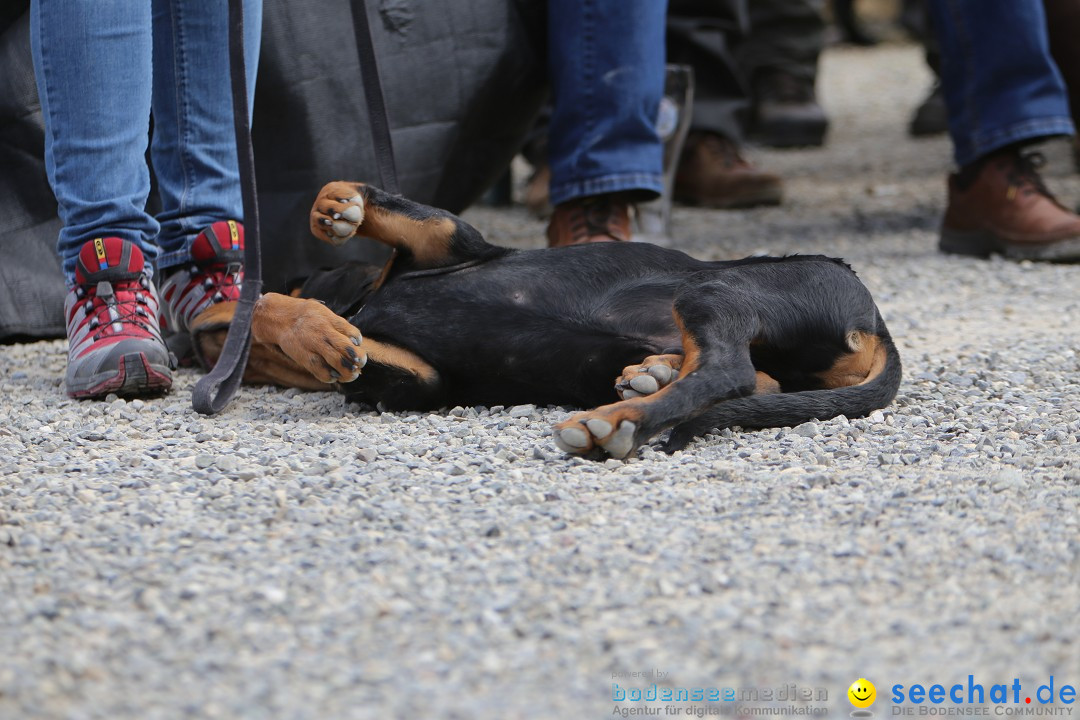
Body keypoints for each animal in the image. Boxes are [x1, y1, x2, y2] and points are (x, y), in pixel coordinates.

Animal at [194, 183, 902, 459]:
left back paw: (615, 419)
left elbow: (352, 220)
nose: (198, 344)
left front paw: (336, 214)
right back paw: (650, 375)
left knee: (727, 370)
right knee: (752, 379)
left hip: (712, 285)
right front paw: (315, 337)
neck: (368, 300)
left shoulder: (455, 241)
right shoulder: (420, 380)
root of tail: (876, 324)